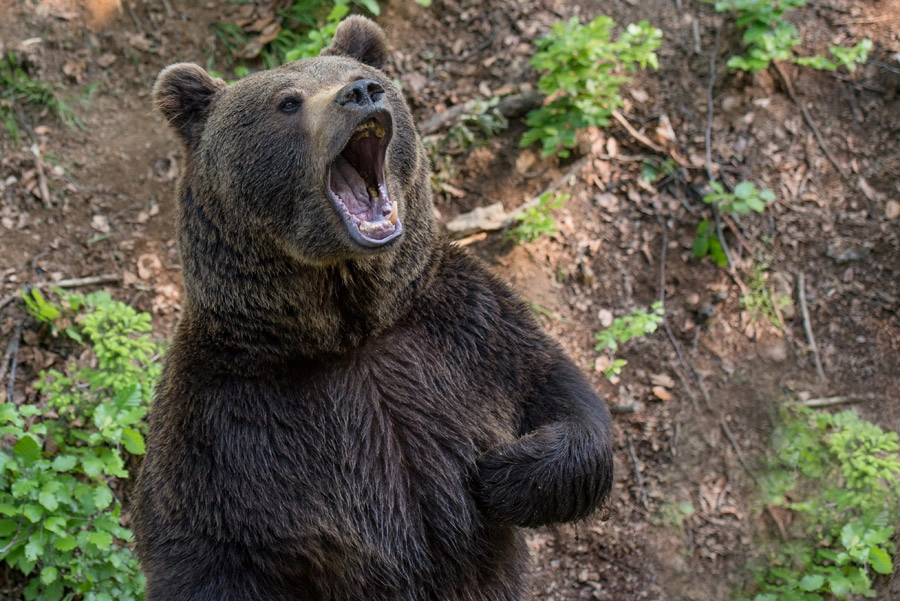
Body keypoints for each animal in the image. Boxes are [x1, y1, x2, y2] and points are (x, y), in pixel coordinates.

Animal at [132, 17, 612, 600]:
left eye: (363, 75)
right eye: (287, 102)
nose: (361, 93)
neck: (351, 328)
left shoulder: (466, 331)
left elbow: (562, 395)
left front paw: (503, 473)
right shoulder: (225, 427)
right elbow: (203, 555)